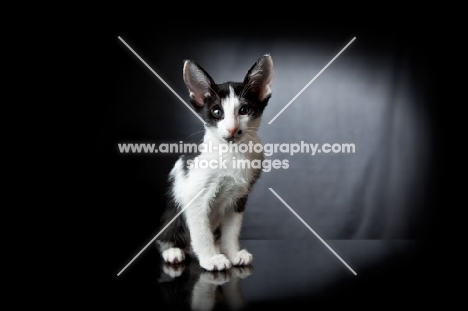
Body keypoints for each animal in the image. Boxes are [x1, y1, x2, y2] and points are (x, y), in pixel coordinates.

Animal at [157, 54, 274, 272]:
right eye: (217, 112)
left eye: (244, 110)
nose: (232, 129)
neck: (232, 153)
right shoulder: (194, 196)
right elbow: (201, 231)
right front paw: (210, 258)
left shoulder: (239, 197)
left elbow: (232, 229)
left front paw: (233, 253)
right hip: (172, 210)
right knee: (168, 234)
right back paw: (173, 251)